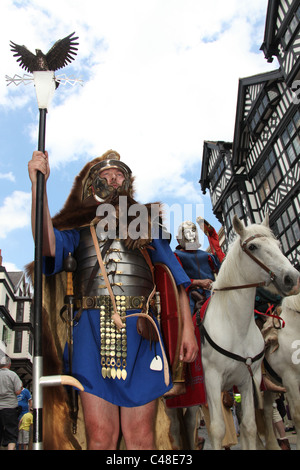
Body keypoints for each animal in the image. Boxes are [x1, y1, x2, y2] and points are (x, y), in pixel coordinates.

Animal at [202, 215, 300, 450]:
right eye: (253, 247)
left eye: (279, 245)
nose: (292, 278)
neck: (236, 326)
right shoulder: (212, 379)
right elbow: (217, 429)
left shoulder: (248, 380)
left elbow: (249, 425)